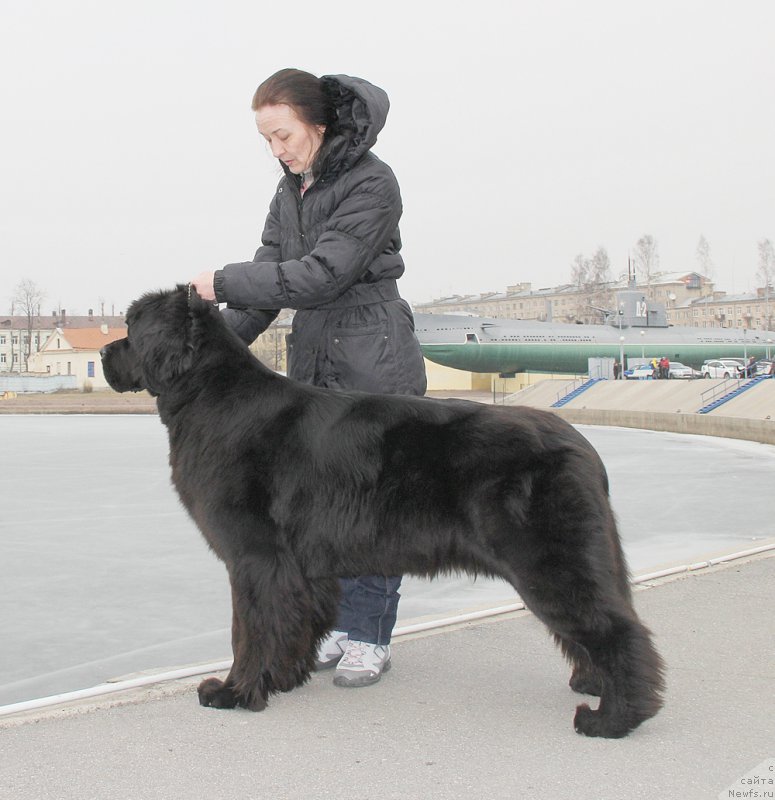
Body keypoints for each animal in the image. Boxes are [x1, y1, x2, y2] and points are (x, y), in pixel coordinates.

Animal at [100, 286, 664, 736]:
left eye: (131, 329)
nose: (103, 352)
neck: (211, 394)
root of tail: (583, 445)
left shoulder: (255, 559)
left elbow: (249, 630)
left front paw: (235, 693)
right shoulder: (299, 568)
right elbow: (294, 623)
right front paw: (284, 679)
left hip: (551, 561)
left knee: (620, 629)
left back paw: (614, 717)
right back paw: (592, 684)